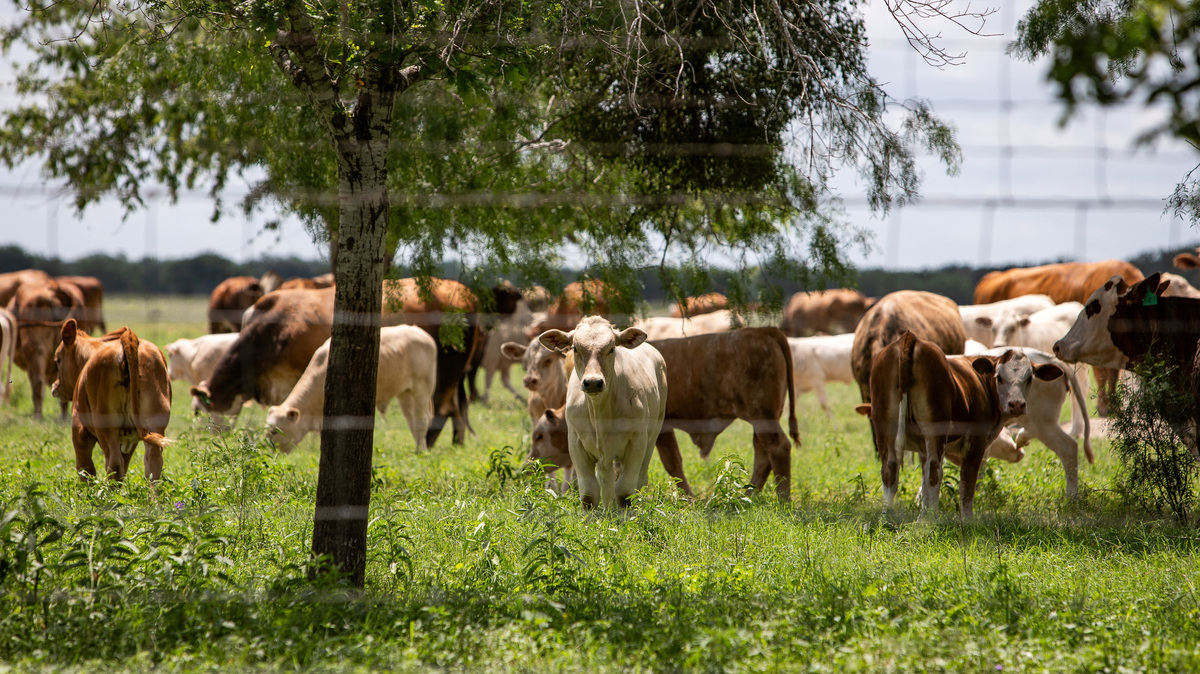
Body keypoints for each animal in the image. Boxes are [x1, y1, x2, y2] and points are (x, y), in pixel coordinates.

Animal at [51, 320, 171, 481]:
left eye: (58, 360)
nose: (55, 386)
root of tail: (128, 339)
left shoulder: (79, 431)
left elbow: (85, 469)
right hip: (154, 424)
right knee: (153, 462)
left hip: (106, 427)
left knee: (113, 464)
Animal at [266, 325, 437, 453]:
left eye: (274, 431)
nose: (268, 450)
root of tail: (421, 333)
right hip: (405, 394)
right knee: (412, 421)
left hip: (422, 389)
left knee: (421, 421)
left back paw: (421, 452)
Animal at [538, 316, 668, 509]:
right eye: (575, 348)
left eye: (612, 348)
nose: (593, 382)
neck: (600, 413)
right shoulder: (576, 444)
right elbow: (589, 495)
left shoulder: (637, 443)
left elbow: (625, 493)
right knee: (607, 479)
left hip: (652, 435)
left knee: (640, 479)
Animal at [861, 332, 1065, 516]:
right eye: (999, 377)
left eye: (1029, 378)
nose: (1016, 404)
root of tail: (910, 338)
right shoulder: (975, 442)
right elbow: (967, 484)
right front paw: (966, 520)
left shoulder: (922, 447)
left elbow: (924, 482)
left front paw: (923, 514)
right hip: (935, 431)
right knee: (935, 472)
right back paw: (932, 520)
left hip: (885, 431)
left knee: (890, 471)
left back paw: (888, 517)